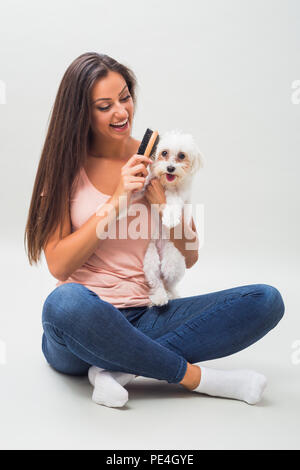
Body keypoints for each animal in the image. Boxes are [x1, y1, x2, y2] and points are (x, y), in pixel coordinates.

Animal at [131, 129, 204, 304]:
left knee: (168, 282)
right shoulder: (148, 185)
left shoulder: (178, 196)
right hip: (150, 260)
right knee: (156, 281)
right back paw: (159, 297)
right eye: (164, 153)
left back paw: (170, 295)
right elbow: (139, 186)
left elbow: (172, 201)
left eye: (182, 156)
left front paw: (169, 218)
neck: (166, 184)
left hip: (174, 262)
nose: (170, 168)